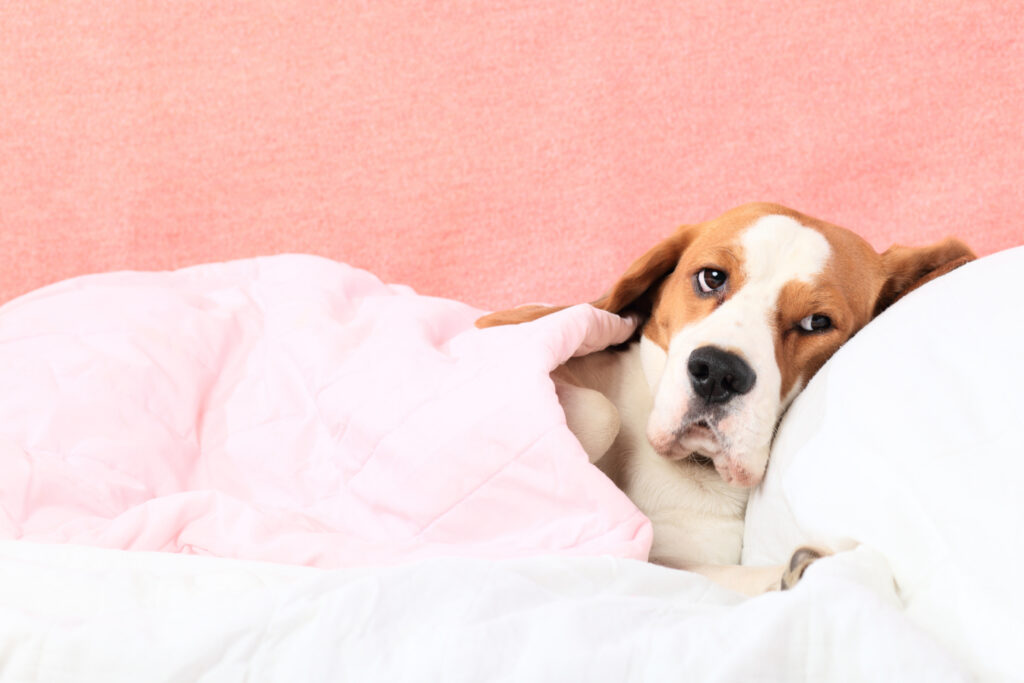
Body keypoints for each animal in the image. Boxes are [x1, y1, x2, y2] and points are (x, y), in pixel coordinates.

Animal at [479, 204, 974, 598]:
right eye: (711, 277)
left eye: (817, 322)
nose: (717, 372)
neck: (691, 472)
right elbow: (603, 414)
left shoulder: (671, 560)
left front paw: (800, 574)